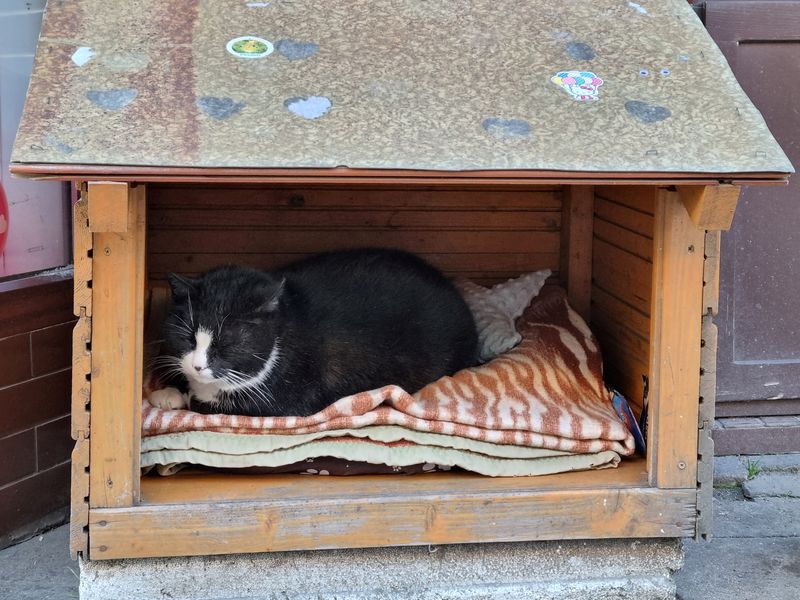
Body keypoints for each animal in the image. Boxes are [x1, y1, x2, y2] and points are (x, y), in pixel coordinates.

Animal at [148, 248, 478, 418]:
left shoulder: (288, 400)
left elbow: (207, 405)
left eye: (227, 342)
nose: (198, 366)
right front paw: (169, 391)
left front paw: (181, 396)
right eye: (188, 335)